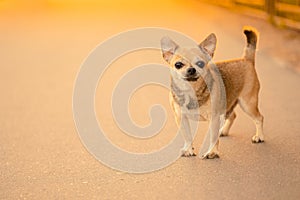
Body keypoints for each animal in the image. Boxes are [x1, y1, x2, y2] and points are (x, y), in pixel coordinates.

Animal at [161, 26, 264, 159]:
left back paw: (259, 136)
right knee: (233, 115)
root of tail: (246, 59)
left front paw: (212, 152)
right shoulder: (181, 118)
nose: (191, 69)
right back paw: (223, 131)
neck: (192, 91)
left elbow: (213, 138)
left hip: (247, 104)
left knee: (259, 118)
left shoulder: (213, 118)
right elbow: (187, 136)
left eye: (200, 63)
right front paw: (189, 149)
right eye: (178, 65)